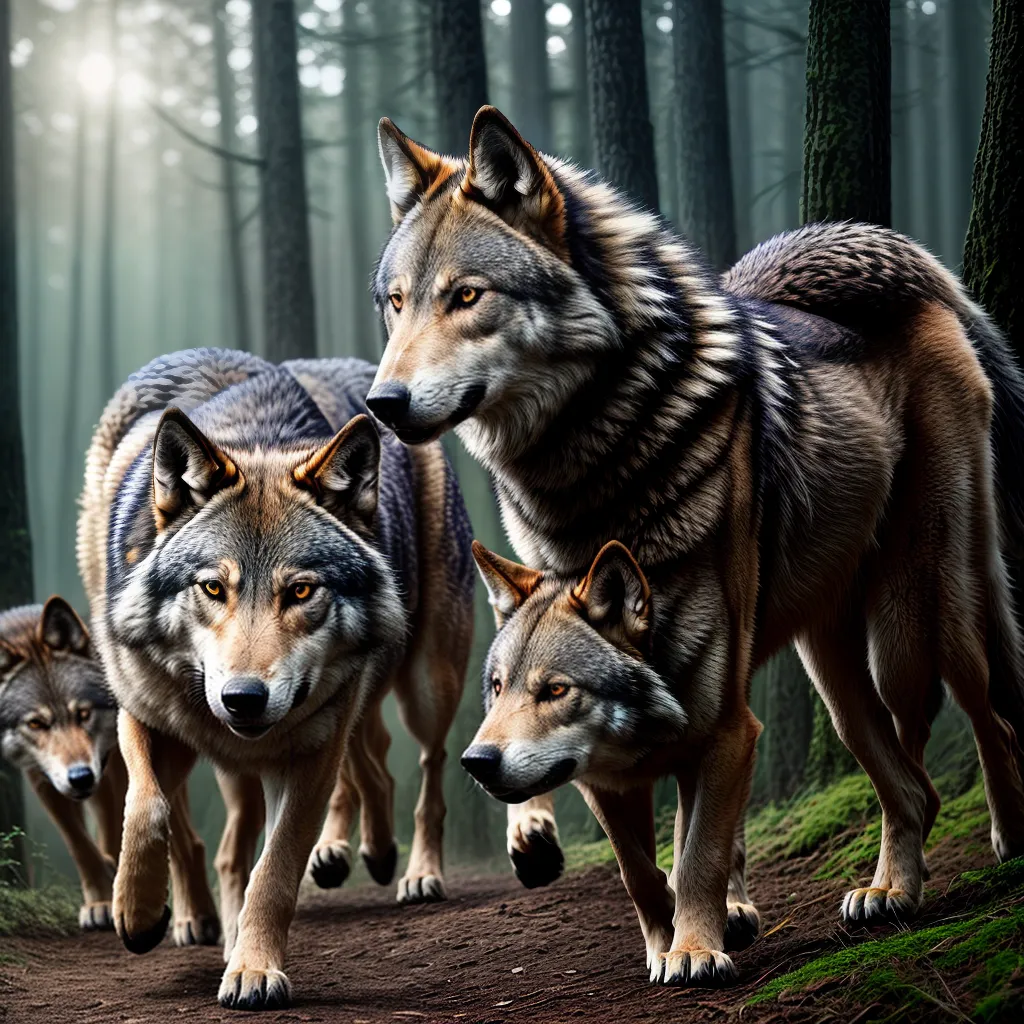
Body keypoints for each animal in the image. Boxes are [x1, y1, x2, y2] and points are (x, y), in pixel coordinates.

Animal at [78, 348, 474, 1010]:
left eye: (302, 591)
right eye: (214, 587)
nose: (242, 699)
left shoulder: (311, 751)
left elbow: (276, 868)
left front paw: (254, 970)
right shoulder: (145, 713)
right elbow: (147, 806)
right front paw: (138, 913)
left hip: (427, 682)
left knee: (427, 765)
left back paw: (414, 868)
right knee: (358, 768)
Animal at [366, 105, 1024, 986]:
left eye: (466, 296)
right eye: (396, 304)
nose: (381, 404)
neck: (590, 466)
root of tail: (889, 263)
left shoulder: (710, 679)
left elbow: (694, 835)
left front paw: (698, 934)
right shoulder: (560, 614)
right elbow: (649, 838)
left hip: (921, 609)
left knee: (983, 716)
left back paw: (996, 844)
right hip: (831, 663)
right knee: (907, 776)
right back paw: (889, 887)